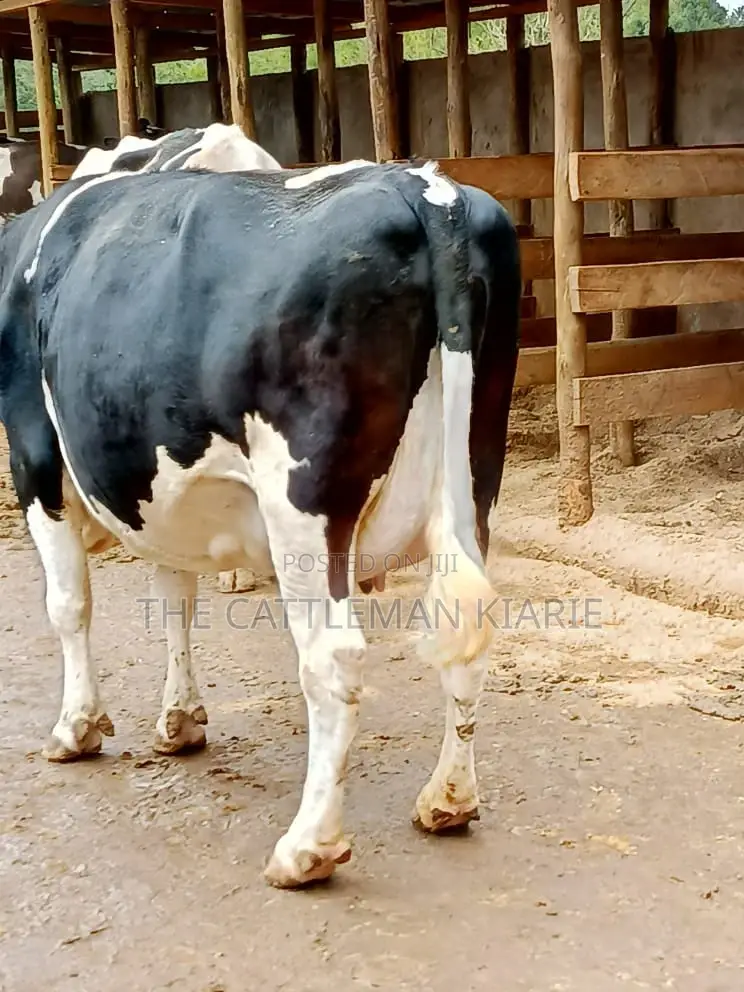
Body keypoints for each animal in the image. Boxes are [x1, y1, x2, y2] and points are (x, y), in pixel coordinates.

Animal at [0, 158, 520, 888]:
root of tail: (425, 189)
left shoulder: (34, 453)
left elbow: (69, 605)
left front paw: (76, 728)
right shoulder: (158, 495)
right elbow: (174, 599)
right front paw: (180, 719)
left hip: (303, 499)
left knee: (333, 657)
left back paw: (308, 848)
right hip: (476, 479)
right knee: (464, 632)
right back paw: (448, 801)